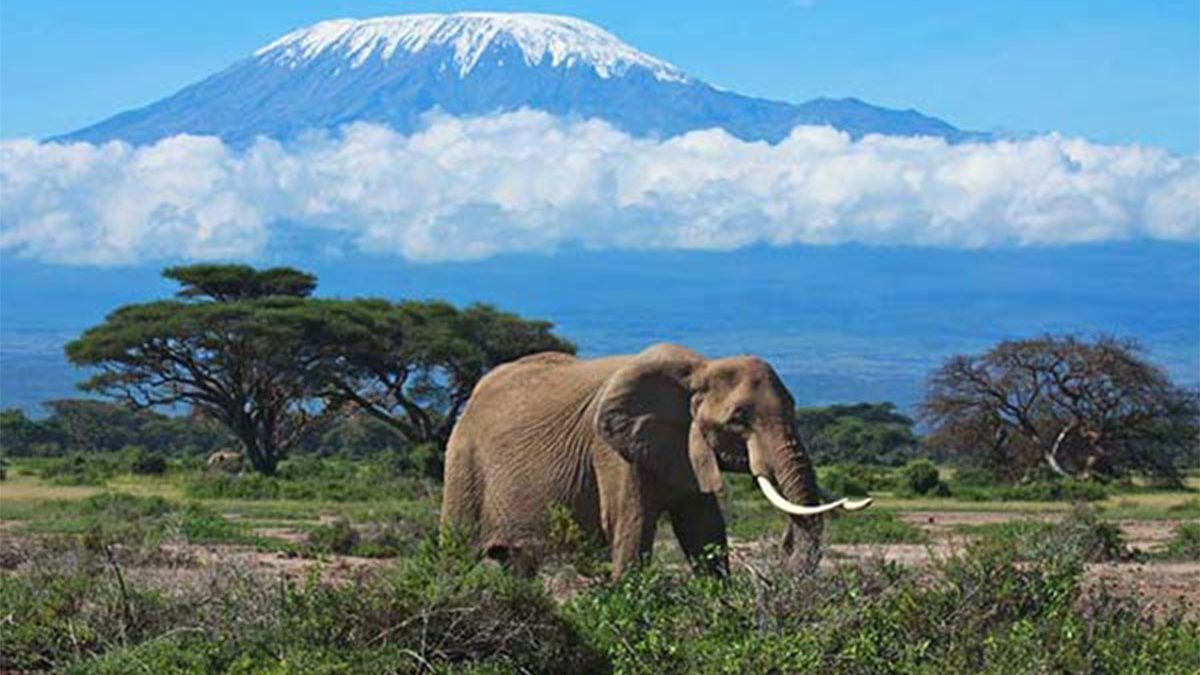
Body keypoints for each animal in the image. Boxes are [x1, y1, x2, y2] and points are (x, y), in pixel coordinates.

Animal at [436, 343, 868, 576]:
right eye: (739, 419)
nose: (783, 545)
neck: (699, 369)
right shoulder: (610, 450)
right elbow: (631, 528)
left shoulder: (684, 448)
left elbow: (704, 530)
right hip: (462, 462)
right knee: (455, 554)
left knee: (519, 565)